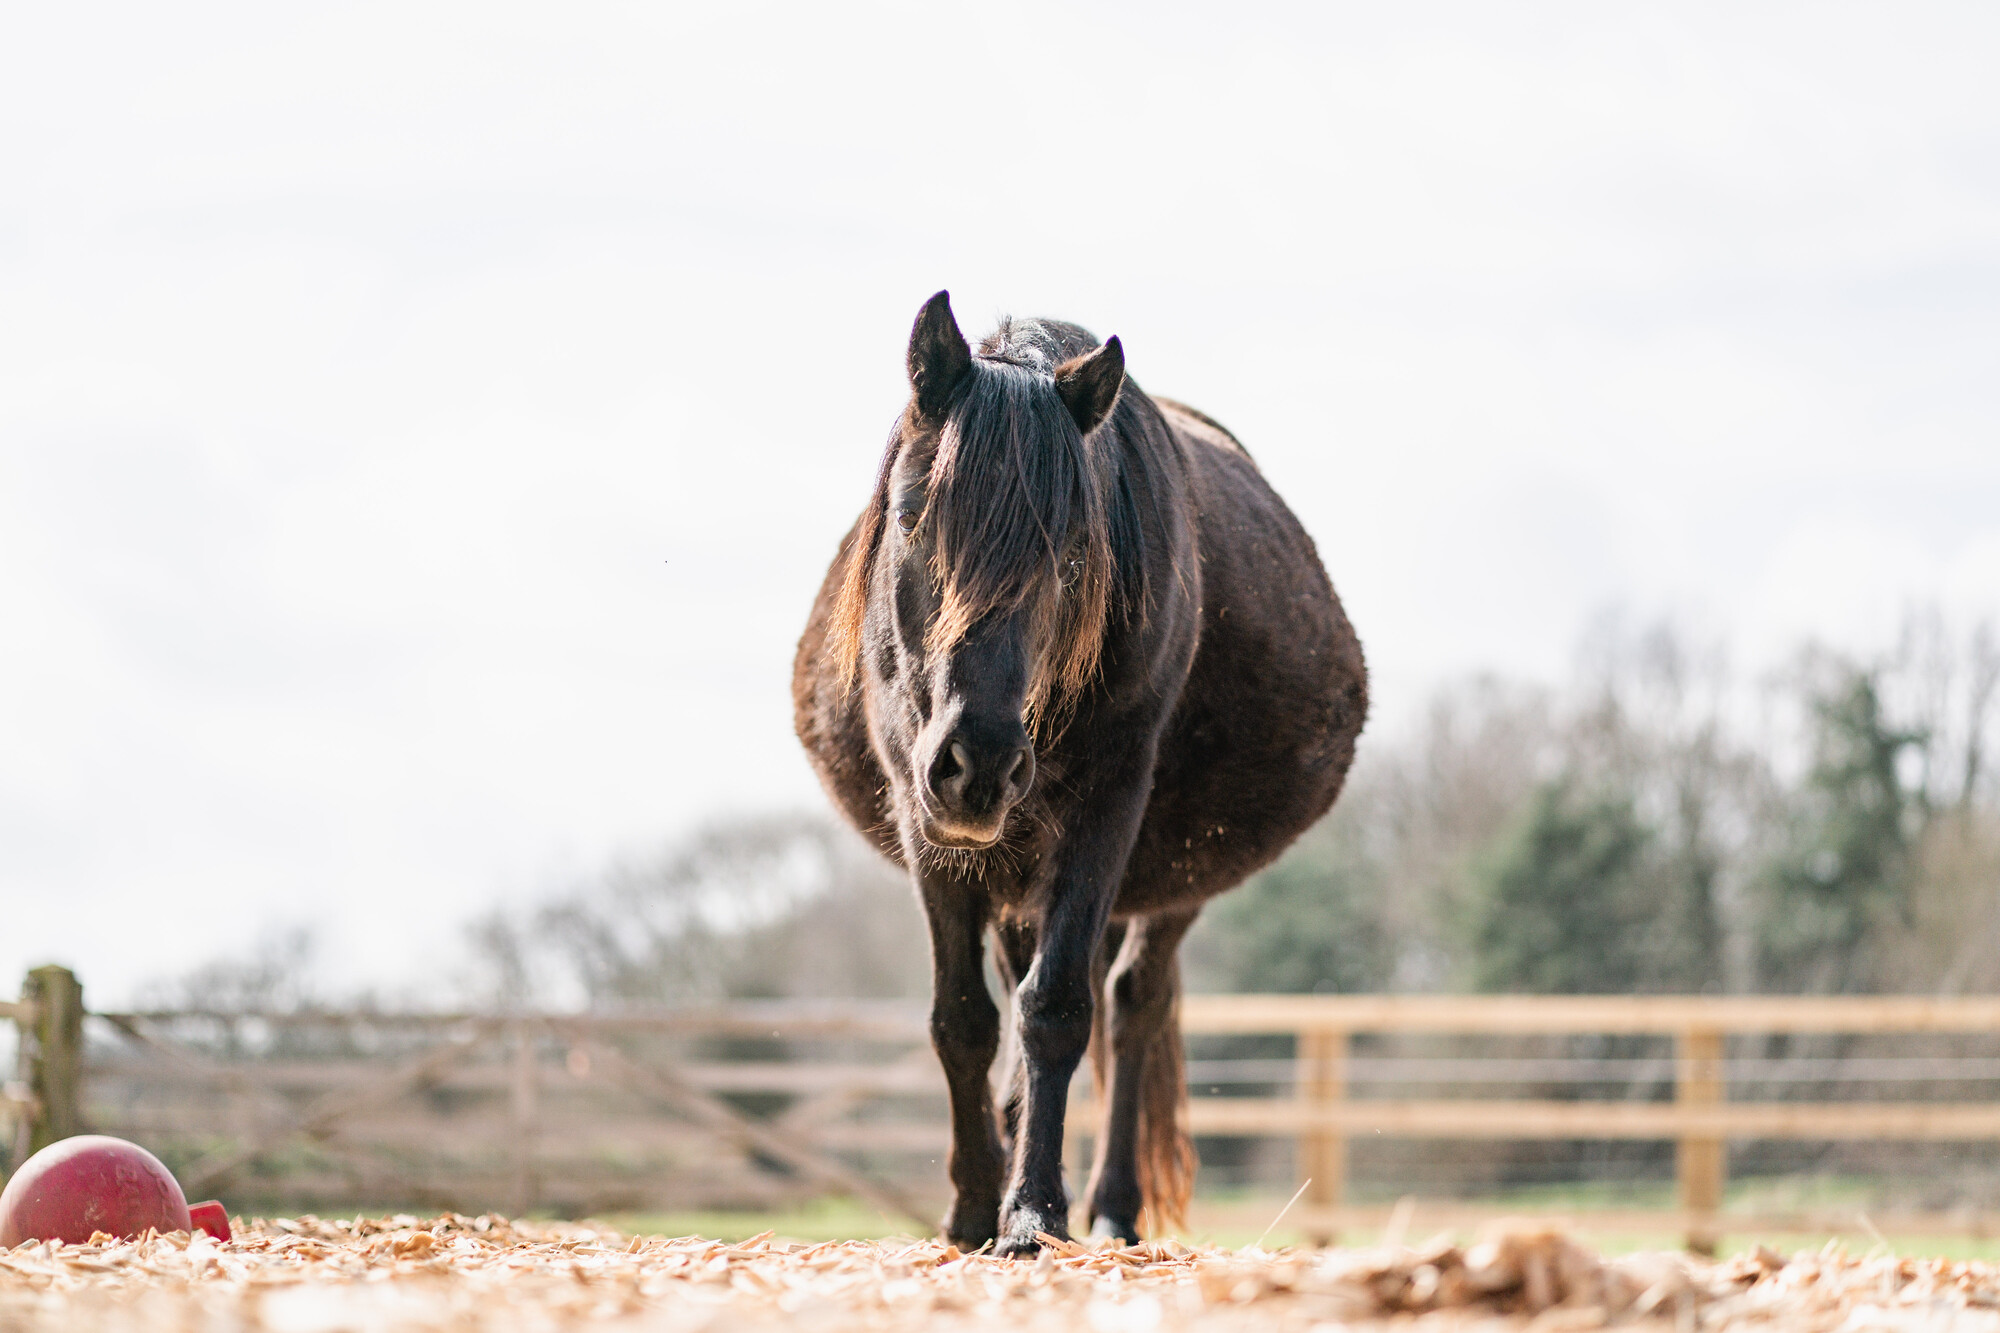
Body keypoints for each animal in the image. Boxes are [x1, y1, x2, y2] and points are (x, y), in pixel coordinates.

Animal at [792, 292, 1367, 1255]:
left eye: (1069, 550)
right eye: (911, 517)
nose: (978, 764)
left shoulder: (1107, 811)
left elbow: (1057, 1009)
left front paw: (1033, 1212)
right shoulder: (927, 826)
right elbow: (964, 1020)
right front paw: (971, 1211)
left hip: (1165, 884)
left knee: (1130, 1006)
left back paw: (1111, 1209)